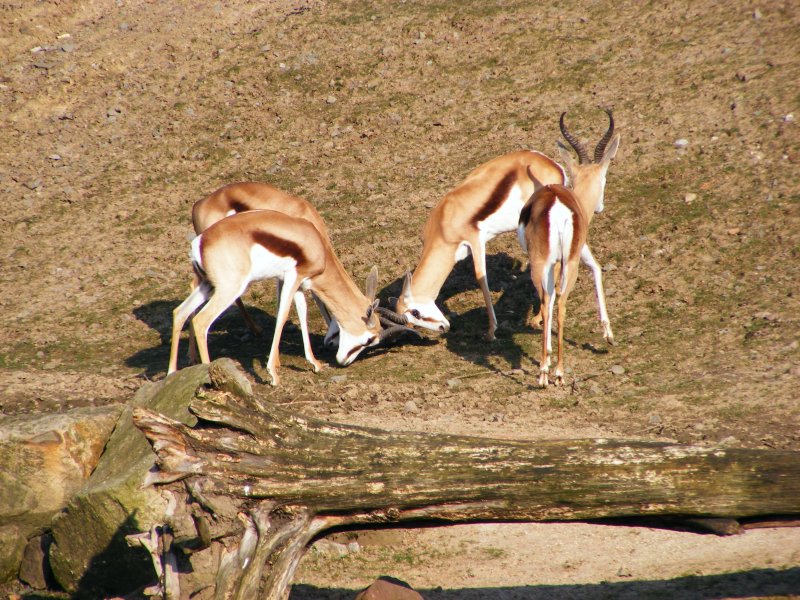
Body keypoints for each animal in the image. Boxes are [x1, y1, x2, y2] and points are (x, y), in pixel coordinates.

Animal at [396, 149, 568, 340]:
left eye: (415, 312)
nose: (443, 327)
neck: (443, 222)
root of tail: (553, 165)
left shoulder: (475, 240)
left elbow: (481, 278)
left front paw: (491, 331)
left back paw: (537, 318)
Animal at [520, 110, 624, 386]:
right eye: (605, 178)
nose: (600, 207)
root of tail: (557, 208)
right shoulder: (579, 252)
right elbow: (597, 268)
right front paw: (609, 335)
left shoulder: (562, 260)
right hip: (565, 262)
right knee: (560, 302)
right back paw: (555, 372)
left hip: (547, 262)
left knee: (551, 299)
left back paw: (547, 371)